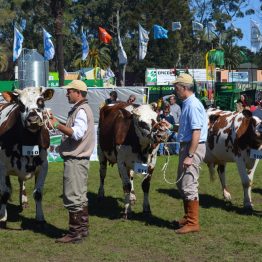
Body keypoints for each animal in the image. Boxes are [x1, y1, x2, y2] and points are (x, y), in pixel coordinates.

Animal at [0, 86, 54, 227]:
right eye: (20, 104)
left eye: (41, 101)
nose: (33, 118)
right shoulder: (1, 167)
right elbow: (5, 192)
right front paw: (2, 217)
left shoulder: (43, 166)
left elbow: (38, 193)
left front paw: (40, 217)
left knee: (21, 181)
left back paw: (23, 200)